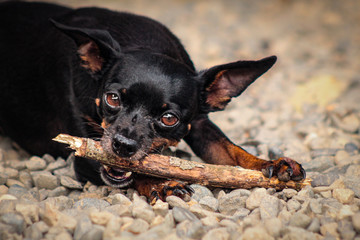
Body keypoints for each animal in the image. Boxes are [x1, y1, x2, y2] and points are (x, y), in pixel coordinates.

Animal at [0, 1, 304, 201]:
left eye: (169, 119)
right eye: (112, 98)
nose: (123, 145)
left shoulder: (200, 124)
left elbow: (231, 152)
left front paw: (270, 164)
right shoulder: (86, 154)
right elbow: (134, 170)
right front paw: (160, 183)